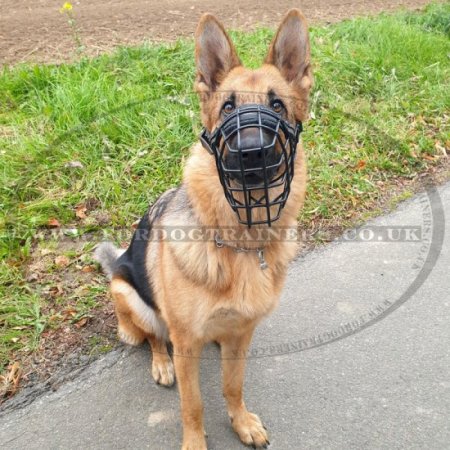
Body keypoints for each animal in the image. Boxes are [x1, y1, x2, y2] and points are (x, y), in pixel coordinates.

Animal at [95, 9, 312, 450]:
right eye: (227, 107)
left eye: (277, 105)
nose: (252, 153)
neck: (243, 240)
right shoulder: (186, 344)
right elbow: (191, 404)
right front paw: (195, 441)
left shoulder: (243, 335)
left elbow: (233, 385)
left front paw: (241, 422)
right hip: (129, 294)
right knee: (153, 336)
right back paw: (161, 363)